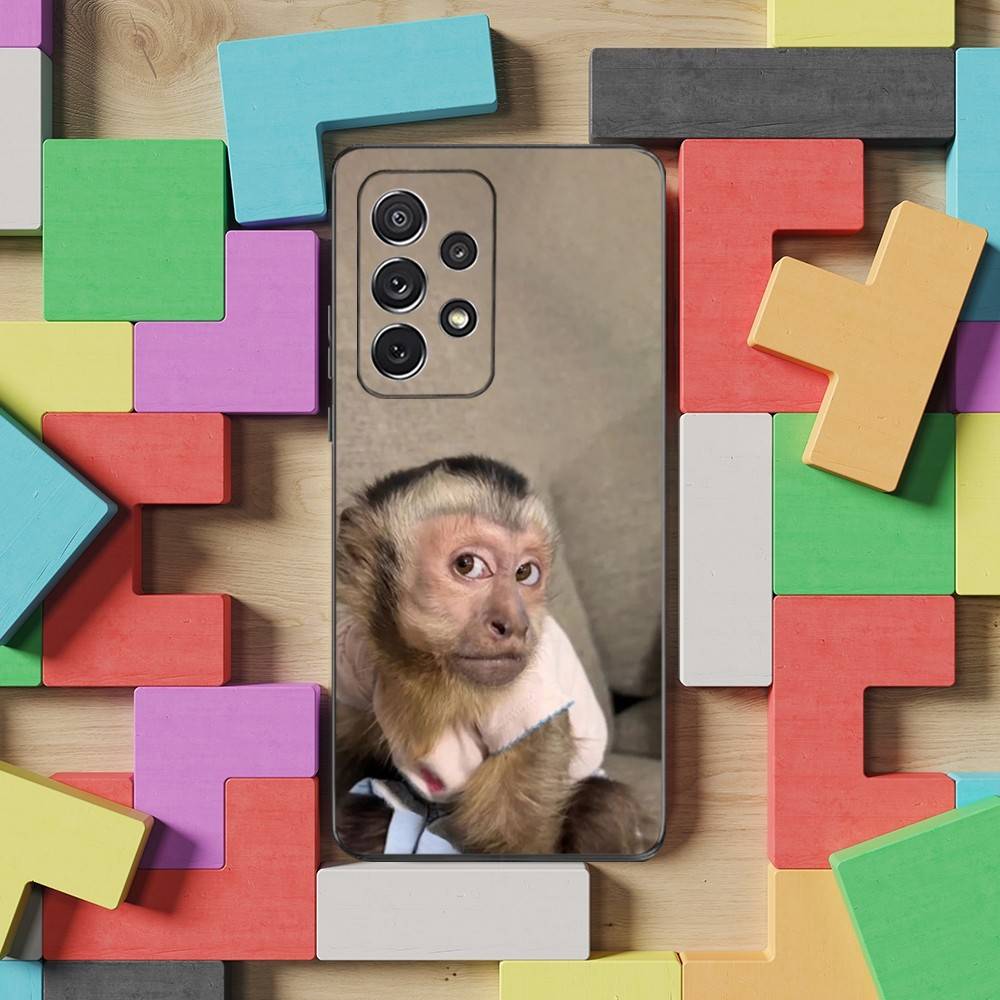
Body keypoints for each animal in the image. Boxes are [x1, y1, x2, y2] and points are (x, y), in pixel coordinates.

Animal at [334, 454, 648, 856]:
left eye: (525, 573)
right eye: (468, 565)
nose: (515, 624)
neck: (429, 675)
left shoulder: (530, 703)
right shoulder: (351, 660)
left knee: (606, 805)